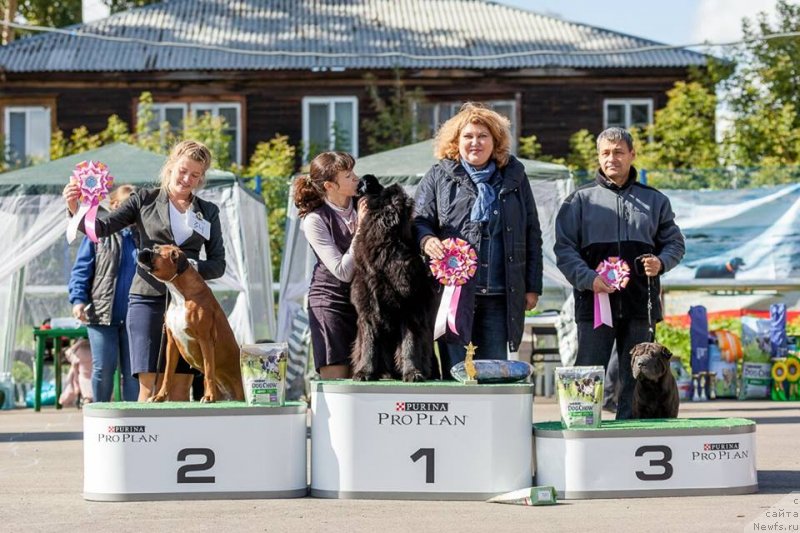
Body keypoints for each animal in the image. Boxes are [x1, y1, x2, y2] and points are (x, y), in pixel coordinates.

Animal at [138, 243, 244, 402]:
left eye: (156, 251)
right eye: (154, 246)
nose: (142, 250)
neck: (180, 296)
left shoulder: (205, 339)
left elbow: (209, 369)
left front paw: (209, 397)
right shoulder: (171, 343)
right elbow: (168, 374)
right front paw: (160, 396)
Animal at [350, 177, 438, 380]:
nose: (363, 182)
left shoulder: (411, 310)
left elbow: (409, 345)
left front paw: (413, 372)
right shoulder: (367, 309)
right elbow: (369, 344)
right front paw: (363, 372)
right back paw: (384, 374)